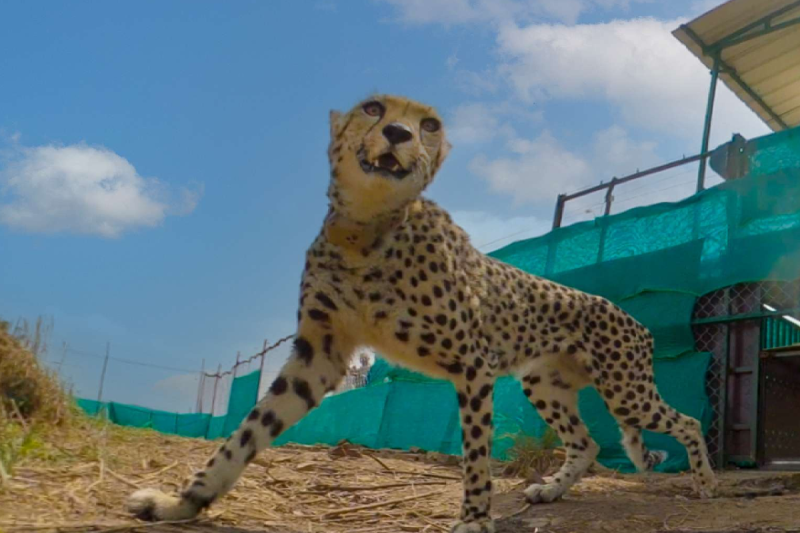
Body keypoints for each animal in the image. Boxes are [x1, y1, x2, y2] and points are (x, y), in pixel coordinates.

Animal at [126, 94, 718, 533]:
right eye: (372, 110)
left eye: (427, 124)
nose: (397, 135)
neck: (366, 228)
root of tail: (630, 316)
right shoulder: (321, 354)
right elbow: (246, 435)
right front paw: (181, 503)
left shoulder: (473, 365)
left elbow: (475, 454)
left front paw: (475, 520)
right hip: (545, 384)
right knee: (588, 440)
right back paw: (551, 490)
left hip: (625, 389)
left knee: (686, 421)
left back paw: (704, 483)